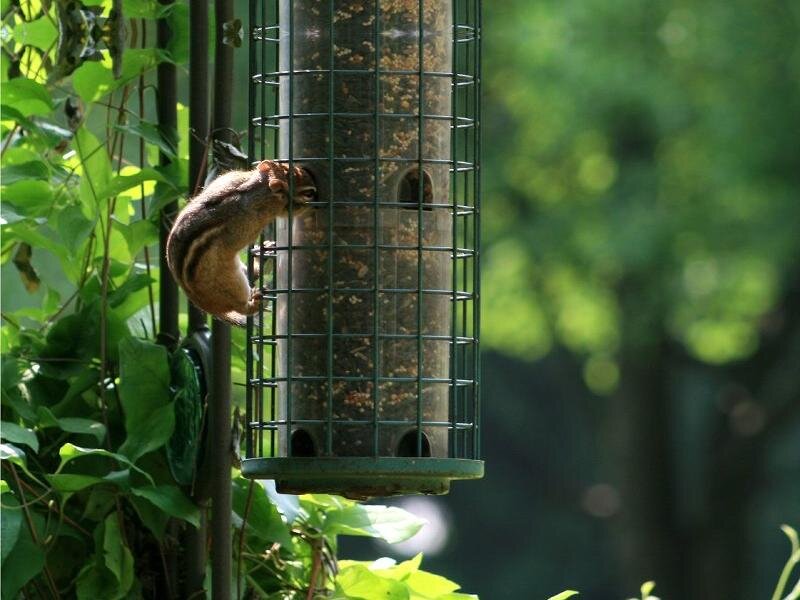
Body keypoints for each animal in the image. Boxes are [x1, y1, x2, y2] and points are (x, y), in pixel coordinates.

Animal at [166, 160, 316, 326]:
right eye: (308, 193)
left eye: (285, 167)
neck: (251, 189)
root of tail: (205, 305)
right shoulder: (250, 225)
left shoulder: (230, 177)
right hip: (231, 284)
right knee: (241, 306)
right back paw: (255, 303)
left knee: (252, 274)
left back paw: (262, 259)